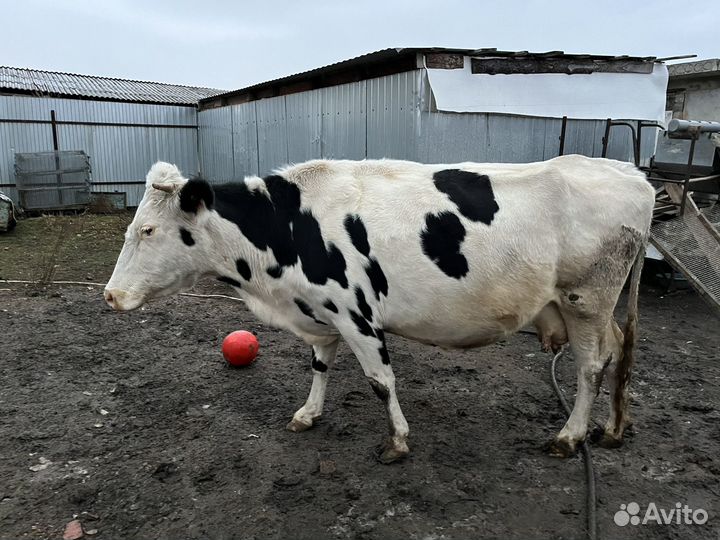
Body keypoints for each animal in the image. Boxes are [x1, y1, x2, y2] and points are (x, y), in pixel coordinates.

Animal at [104, 155, 654, 463]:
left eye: (148, 230)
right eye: (134, 227)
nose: (110, 295)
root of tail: (631, 173)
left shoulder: (357, 314)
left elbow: (379, 381)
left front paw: (398, 441)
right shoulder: (323, 312)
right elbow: (320, 366)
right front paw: (308, 413)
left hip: (586, 299)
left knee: (589, 366)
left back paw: (570, 436)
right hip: (595, 306)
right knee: (617, 352)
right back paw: (613, 428)